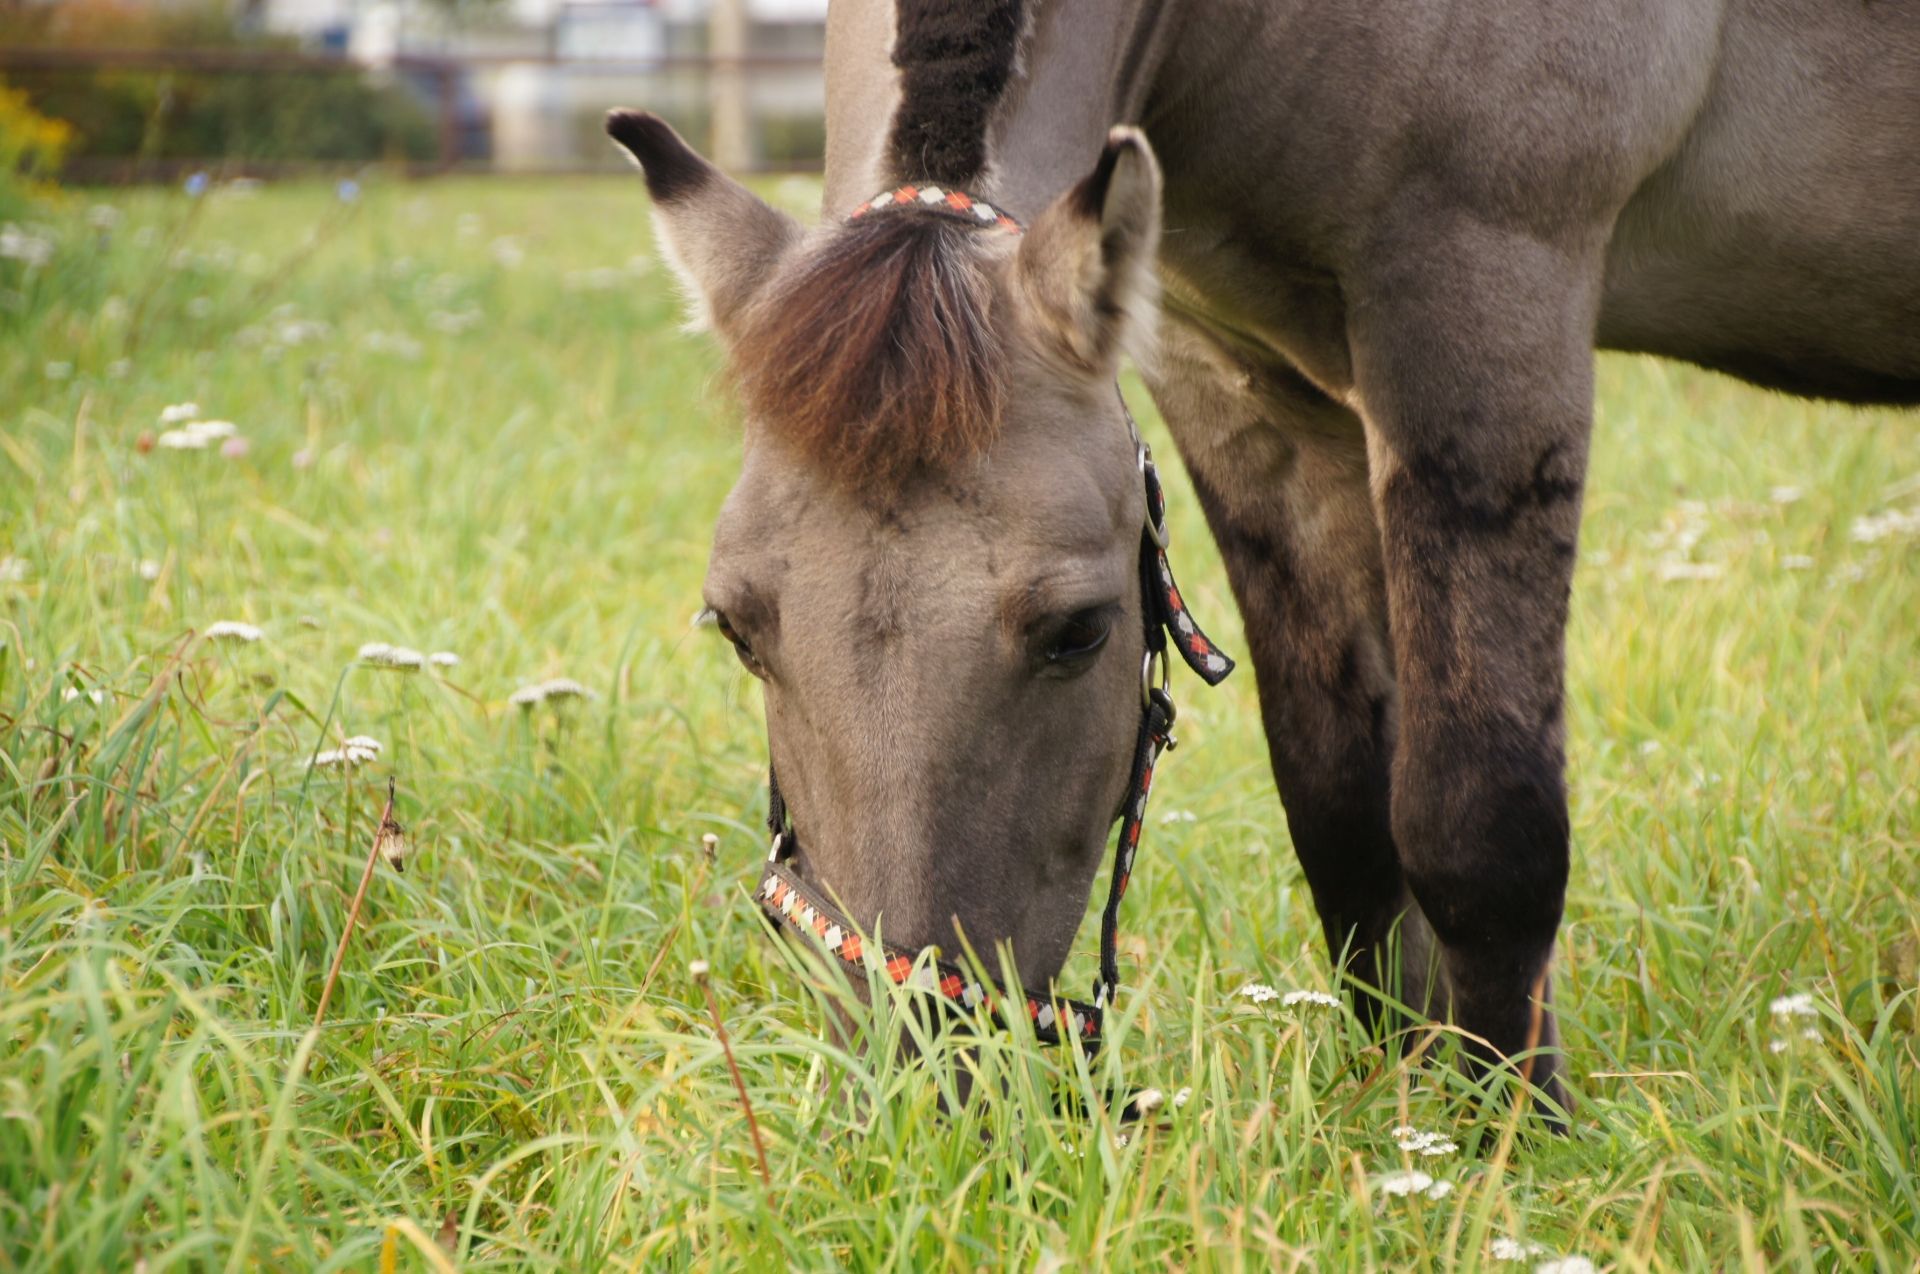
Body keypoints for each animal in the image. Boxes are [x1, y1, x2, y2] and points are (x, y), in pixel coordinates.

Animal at [606, 0, 1912, 1112]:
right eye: (737, 625)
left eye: (1079, 629)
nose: (923, 1080)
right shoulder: (1235, 380)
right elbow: (1342, 809)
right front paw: (1406, 1118)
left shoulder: (1485, 301)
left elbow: (1481, 817)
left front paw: (1509, 1143)